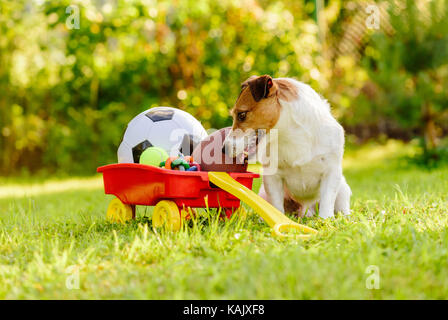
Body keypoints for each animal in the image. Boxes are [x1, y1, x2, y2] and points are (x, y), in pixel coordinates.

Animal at [222, 75, 352, 219]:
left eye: (242, 115)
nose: (223, 149)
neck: (292, 134)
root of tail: (305, 210)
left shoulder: (332, 172)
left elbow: (327, 200)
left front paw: (325, 219)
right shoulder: (272, 177)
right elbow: (276, 204)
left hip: (343, 189)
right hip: (263, 193)